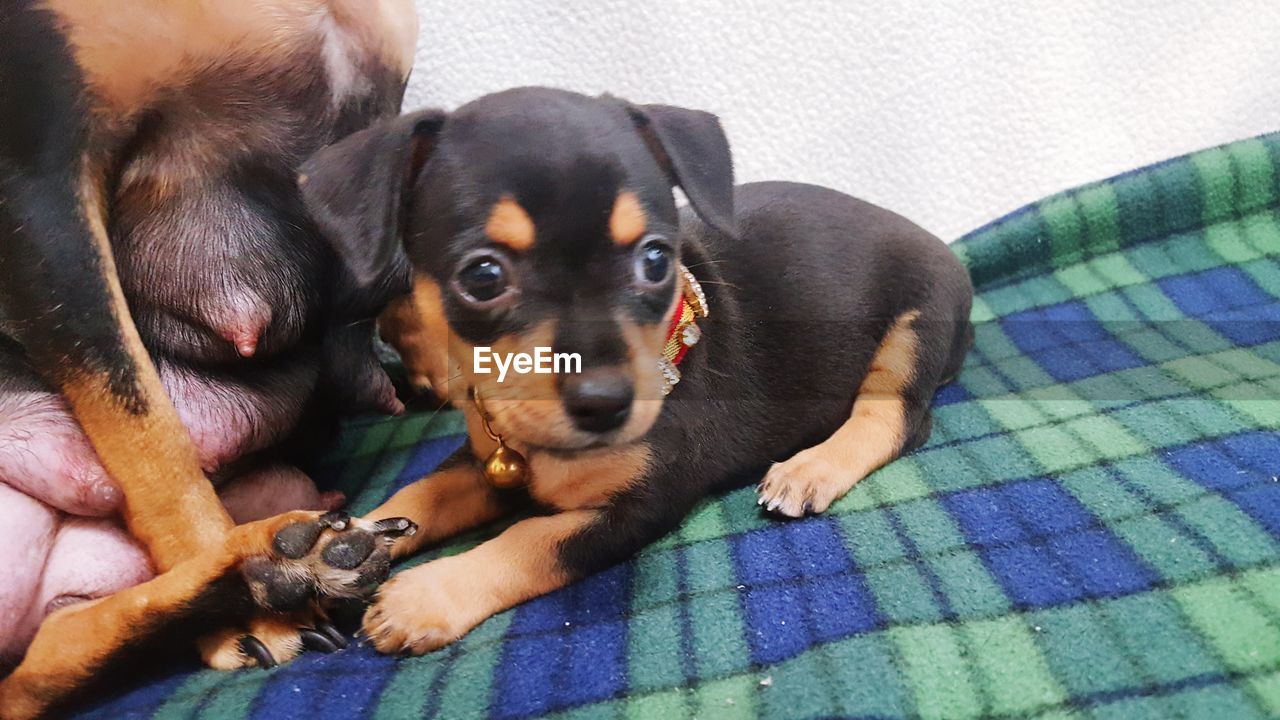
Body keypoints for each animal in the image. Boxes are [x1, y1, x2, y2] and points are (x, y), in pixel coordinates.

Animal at [294, 87, 972, 653]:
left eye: (655, 260)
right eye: (482, 277)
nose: (606, 402)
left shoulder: (639, 505)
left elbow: (530, 540)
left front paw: (426, 596)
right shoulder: (486, 459)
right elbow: (419, 493)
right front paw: (336, 546)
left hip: (915, 327)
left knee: (895, 420)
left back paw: (810, 469)